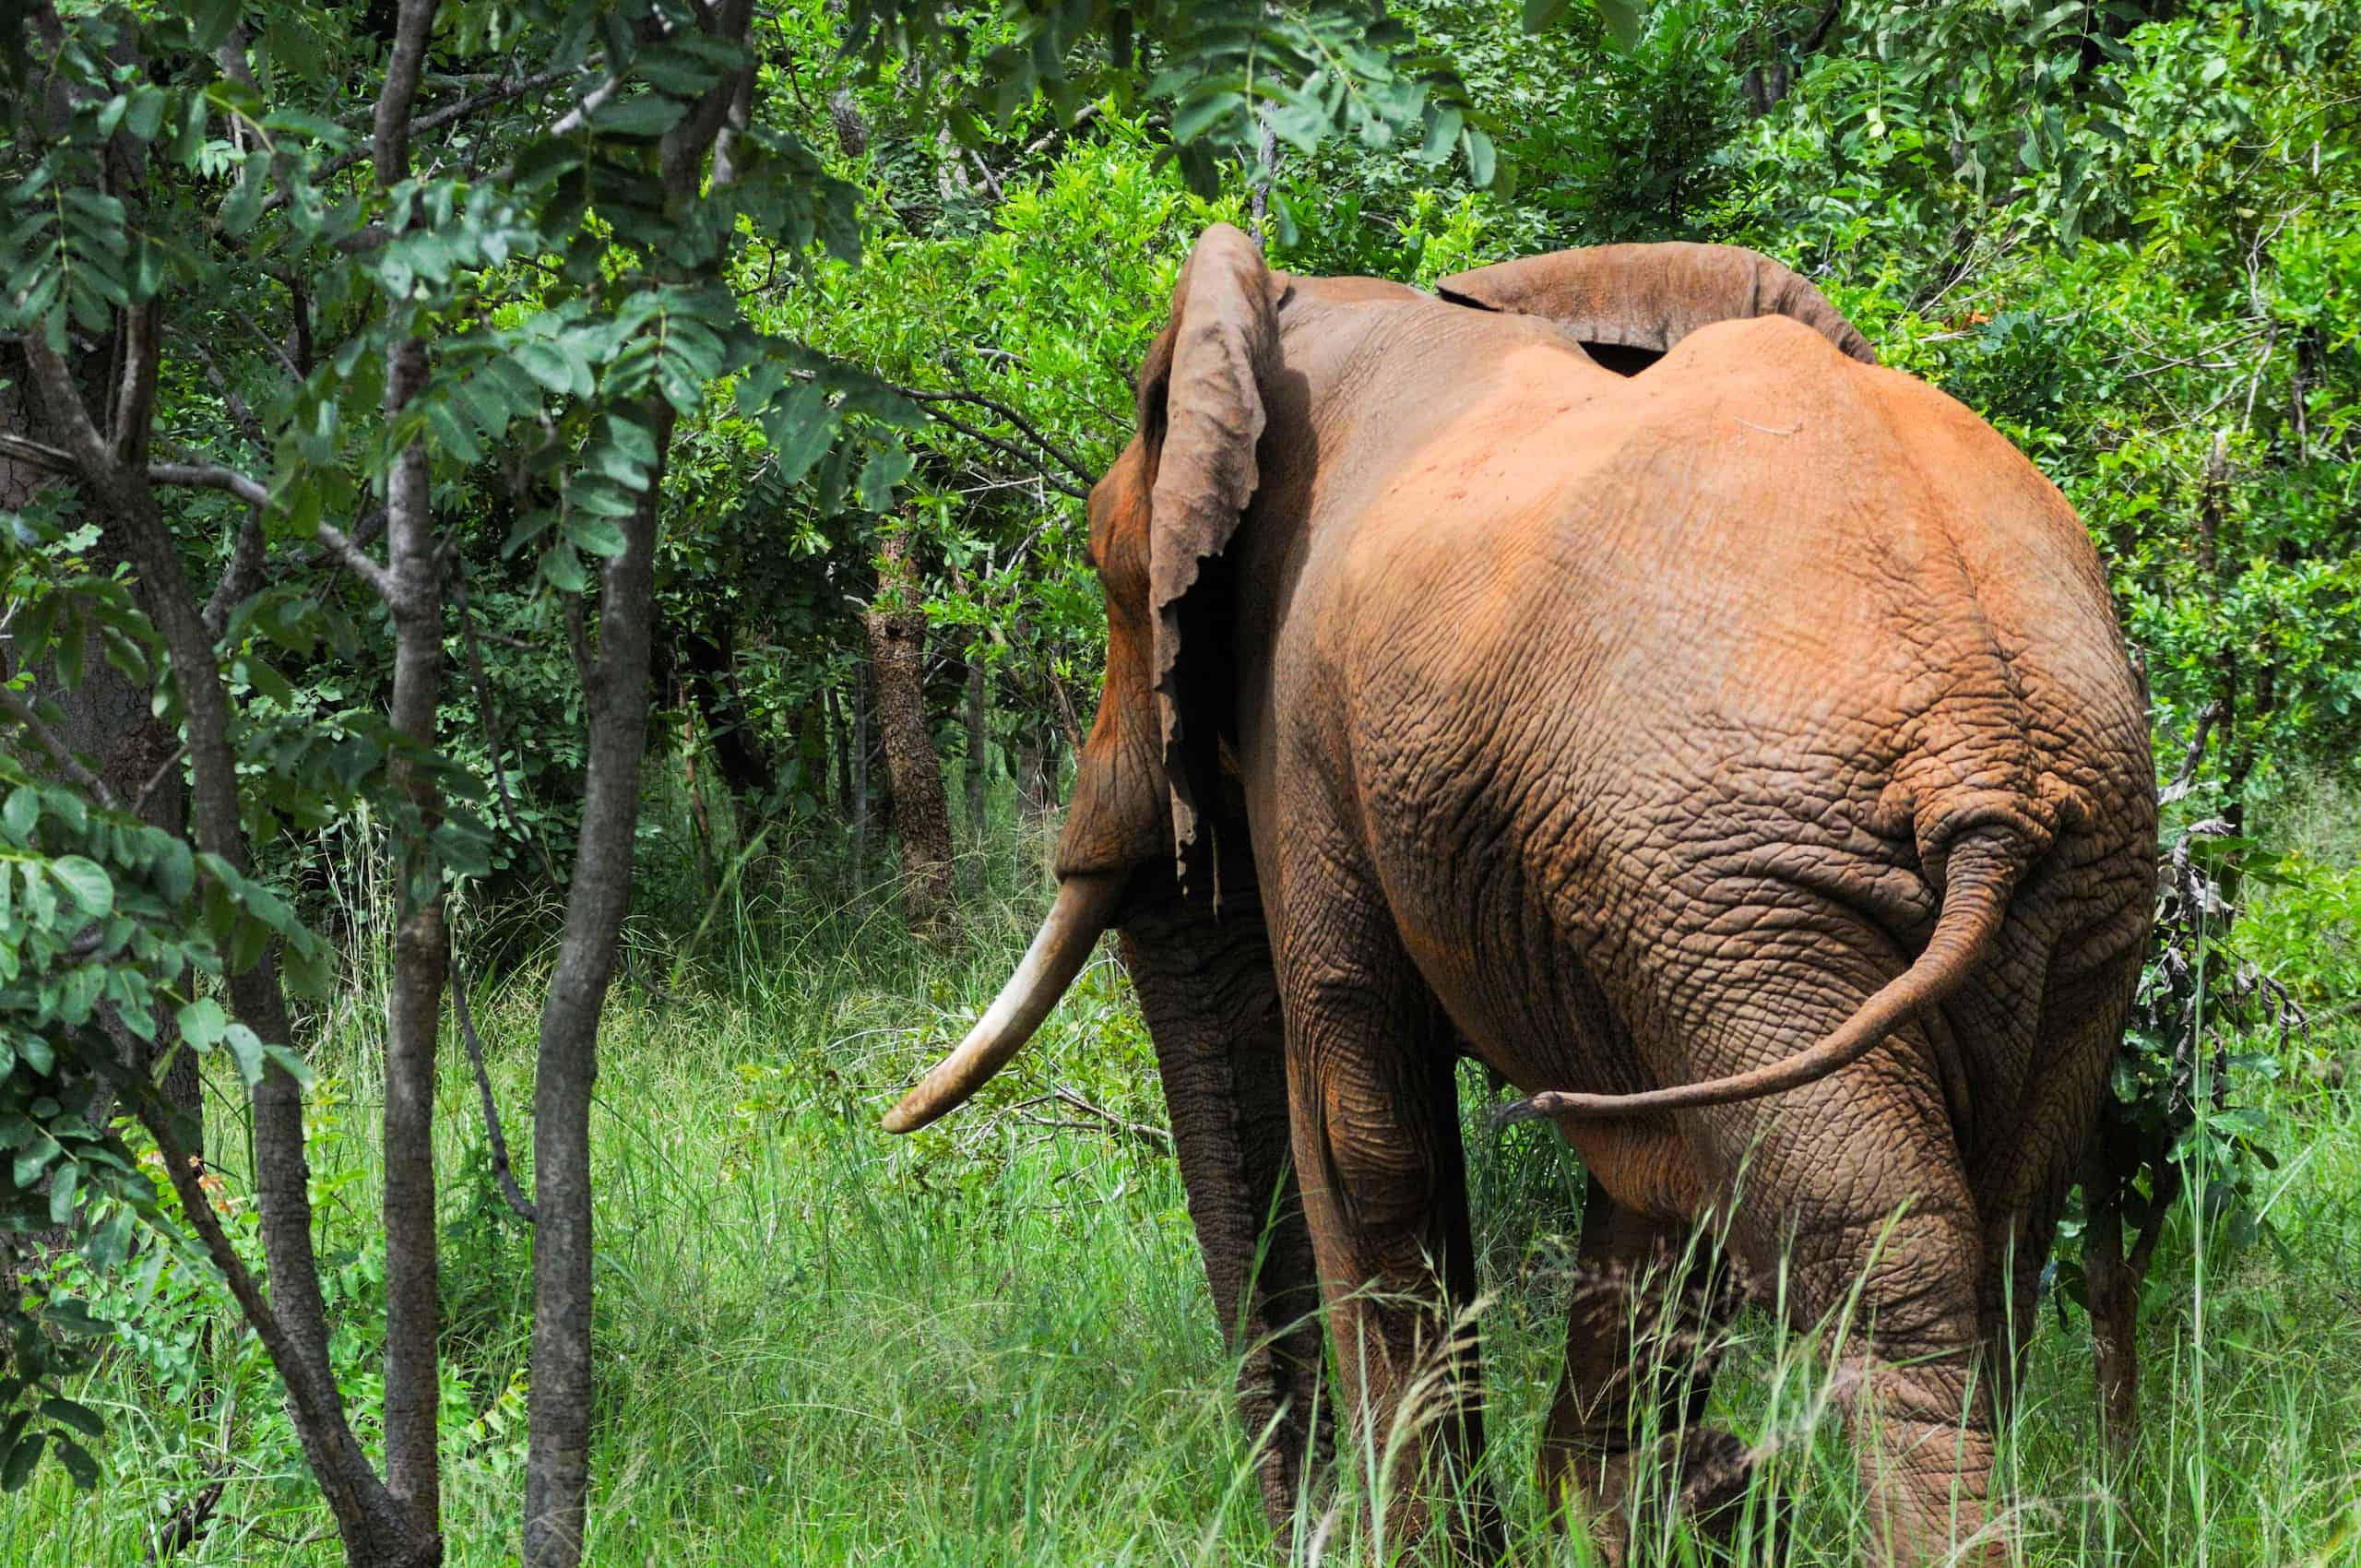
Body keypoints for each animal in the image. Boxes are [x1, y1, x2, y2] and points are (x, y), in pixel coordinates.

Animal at [883, 222, 2162, 1568]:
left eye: (1104, 572)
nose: (1299, 1527)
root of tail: (1986, 759)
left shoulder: (1312, 736)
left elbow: (1359, 1129)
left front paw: (1445, 1546)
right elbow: (1640, 1187)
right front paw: (1612, 1516)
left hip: (1757, 892)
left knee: (1874, 1253)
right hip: (2055, 887)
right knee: (1999, 1230)